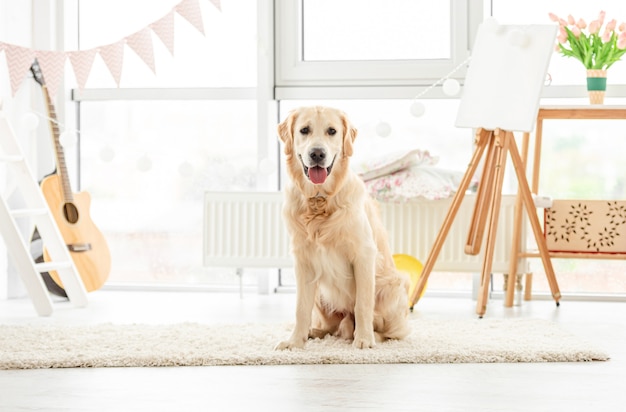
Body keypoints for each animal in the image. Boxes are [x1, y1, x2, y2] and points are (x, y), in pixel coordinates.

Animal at [272, 106, 410, 350]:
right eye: (304, 130)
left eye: (332, 131)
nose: (317, 154)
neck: (319, 201)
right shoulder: (303, 260)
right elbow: (301, 308)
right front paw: (295, 342)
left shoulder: (364, 254)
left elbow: (362, 304)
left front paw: (363, 340)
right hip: (321, 293)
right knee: (332, 327)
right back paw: (314, 332)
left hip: (393, 285)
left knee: (394, 332)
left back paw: (372, 336)